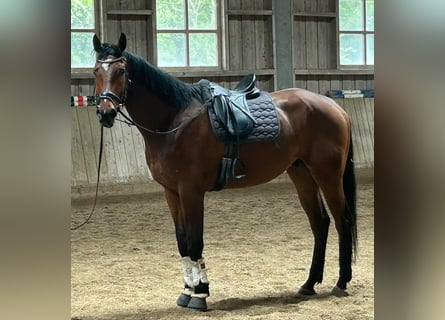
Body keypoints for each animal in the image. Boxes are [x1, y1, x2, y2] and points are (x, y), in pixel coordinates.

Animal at [92, 33, 356, 312]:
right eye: (96, 70)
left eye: (121, 71)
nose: (106, 112)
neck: (174, 122)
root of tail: (335, 107)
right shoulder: (171, 193)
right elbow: (182, 242)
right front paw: (186, 291)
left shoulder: (191, 192)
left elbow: (195, 241)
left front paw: (200, 294)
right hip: (302, 175)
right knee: (320, 223)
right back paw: (309, 283)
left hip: (328, 175)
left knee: (343, 220)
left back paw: (341, 283)